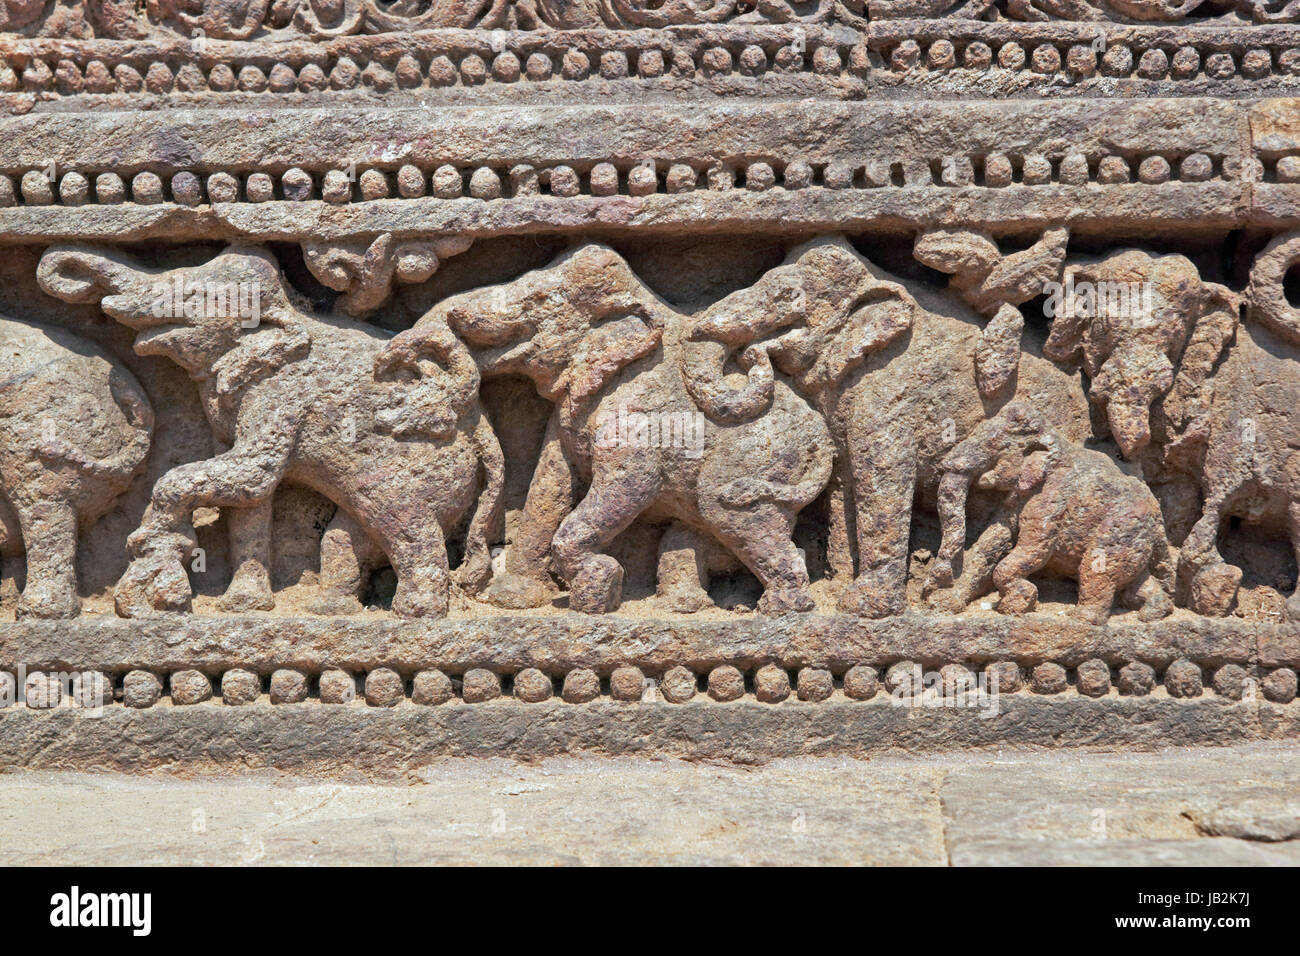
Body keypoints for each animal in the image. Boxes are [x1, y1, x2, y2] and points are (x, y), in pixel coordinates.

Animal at [930, 403, 1175, 629]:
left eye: (990, 445)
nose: (938, 574)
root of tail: (1158, 523)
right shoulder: (1018, 497)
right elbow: (992, 541)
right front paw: (945, 603)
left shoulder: (1052, 499)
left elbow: (1035, 546)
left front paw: (1017, 604)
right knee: (1138, 581)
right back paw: (1152, 612)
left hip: (1122, 532)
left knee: (1097, 567)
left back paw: (1081, 619)